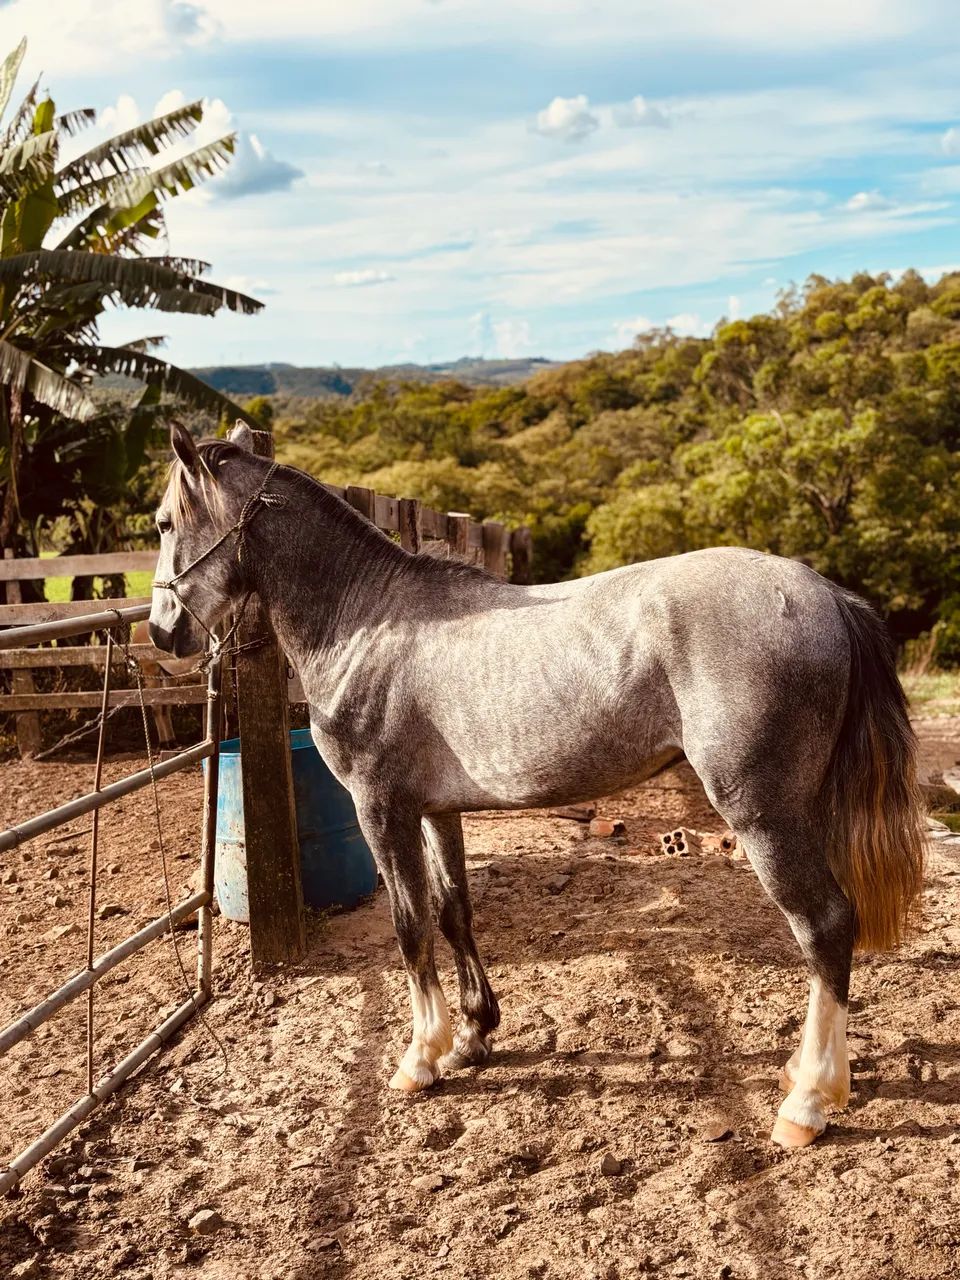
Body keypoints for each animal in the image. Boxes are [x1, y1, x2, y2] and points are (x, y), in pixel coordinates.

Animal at [149, 422, 925, 1150]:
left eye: (162, 523)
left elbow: (409, 926)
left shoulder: (380, 810)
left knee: (825, 924)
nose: (163, 633)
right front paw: (472, 1037)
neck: (366, 620)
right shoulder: (436, 812)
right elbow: (454, 912)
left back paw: (808, 1102)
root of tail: (824, 593)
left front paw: (420, 1059)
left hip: (765, 814)